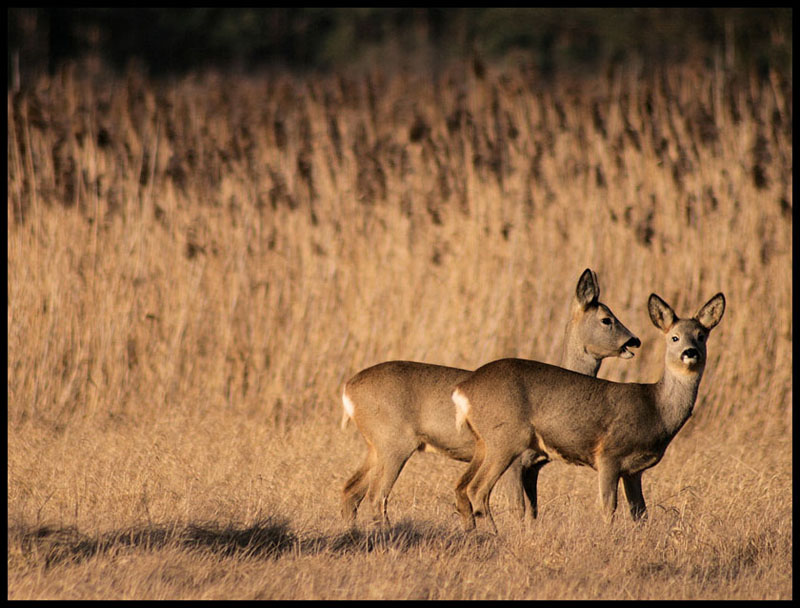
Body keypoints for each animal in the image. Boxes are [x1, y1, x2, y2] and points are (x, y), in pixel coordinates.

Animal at [340, 268, 640, 524]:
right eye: (607, 319)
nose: (634, 340)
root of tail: (348, 390)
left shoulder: (533, 467)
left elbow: (533, 511)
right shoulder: (516, 461)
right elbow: (518, 508)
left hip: (376, 446)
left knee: (350, 491)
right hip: (395, 443)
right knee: (376, 496)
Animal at [454, 290, 728, 532]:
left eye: (701, 335)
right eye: (674, 337)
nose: (690, 353)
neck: (656, 408)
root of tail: (464, 388)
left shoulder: (634, 471)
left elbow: (640, 513)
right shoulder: (609, 454)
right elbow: (608, 507)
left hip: (485, 443)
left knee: (463, 487)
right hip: (506, 438)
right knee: (477, 489)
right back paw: (494, 534)